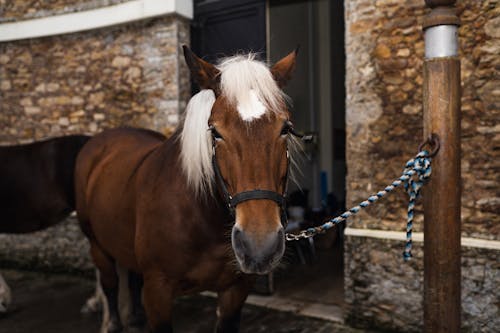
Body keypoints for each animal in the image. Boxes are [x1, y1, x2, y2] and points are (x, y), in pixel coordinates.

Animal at [74, 45, 296, 330]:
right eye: (215, 132)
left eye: (285, 128)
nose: (259, 246)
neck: (201, 216)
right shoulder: (157, 292)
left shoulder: (236, 291)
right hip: (97, 245)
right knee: (110, 284)